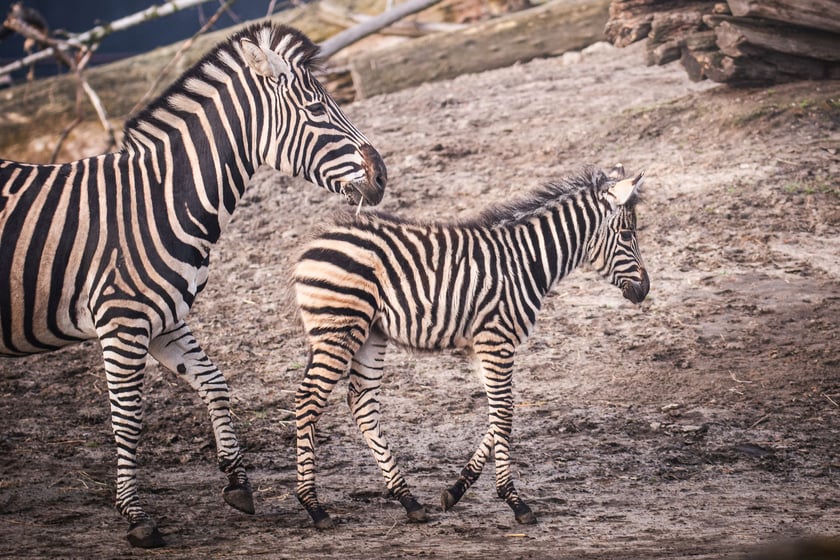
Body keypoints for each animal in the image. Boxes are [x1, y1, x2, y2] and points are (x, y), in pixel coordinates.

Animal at [0, 21, 388, 548]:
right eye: (315, 110)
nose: (382, 176)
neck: (162, 200)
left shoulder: (164, 319)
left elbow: (214, 382)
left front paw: (237, 482)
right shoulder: (122, 322)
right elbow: (128, 419)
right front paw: (136, 516)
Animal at [292, 165, 648, 528]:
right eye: (626, 234)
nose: (644, 290)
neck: (528, 262)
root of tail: (313, 242)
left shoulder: (483, 345)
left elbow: (499, 410)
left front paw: (457, 489)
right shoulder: (497, 339)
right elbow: (503, 411)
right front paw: (514, 500)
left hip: (369, 333)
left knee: (362, 402)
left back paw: (408, 499)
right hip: (340, 327)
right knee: (309, 399)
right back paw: (313, 505)